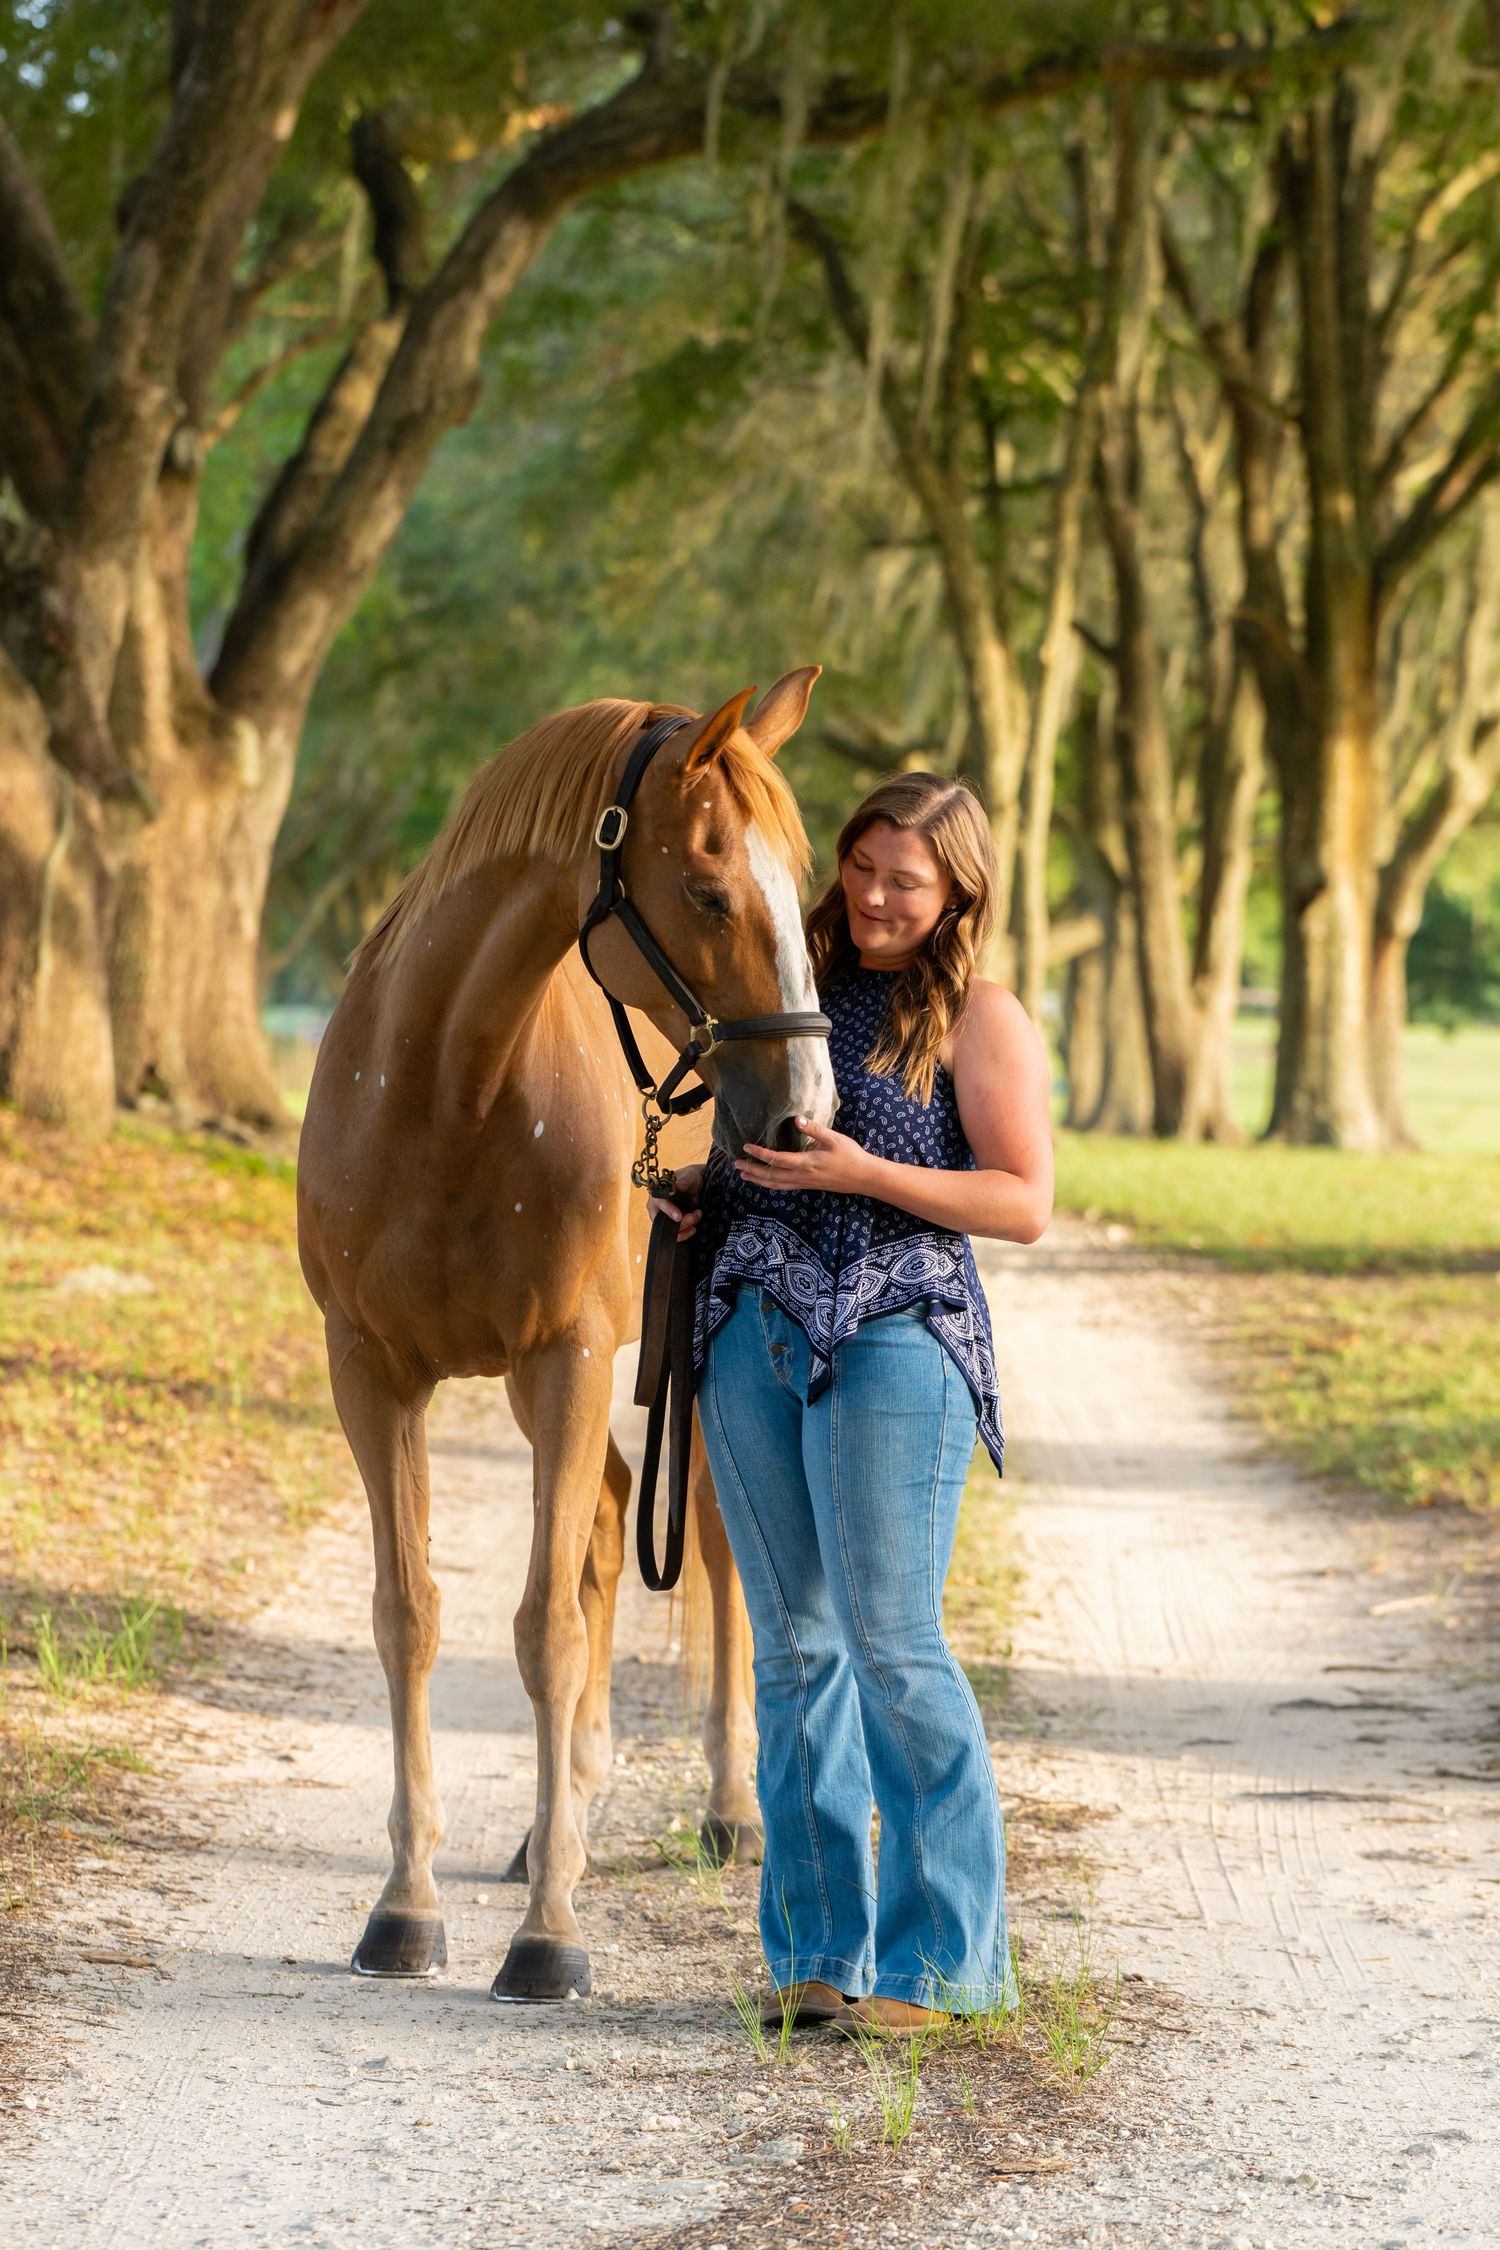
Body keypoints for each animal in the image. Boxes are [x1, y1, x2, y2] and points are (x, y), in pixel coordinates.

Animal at [296, 672, 836, 2001]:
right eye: (712, 891)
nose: (809, 1116)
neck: (445, 1088)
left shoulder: (571, 1361)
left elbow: (546, 1626)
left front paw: (549, 1936)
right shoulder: (372, 1374)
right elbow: (411, 1614)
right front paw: (406, 1907)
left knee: (710, 1551)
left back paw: (728, 1810)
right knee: (602, 1529)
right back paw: (564, 1820)